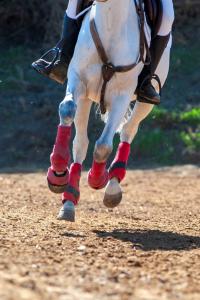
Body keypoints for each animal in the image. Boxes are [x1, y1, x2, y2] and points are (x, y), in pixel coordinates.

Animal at [47, 0, 171, 220]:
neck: (110, 23)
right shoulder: (78, 81)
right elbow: (67, 109)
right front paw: (58, 171)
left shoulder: (121, 96)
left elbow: (103, 146)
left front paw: (98, 179)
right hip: (86, 99)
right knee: (80, 143)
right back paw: (69, 199)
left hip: (145, 102)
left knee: (128, 130)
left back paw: (112, 183)